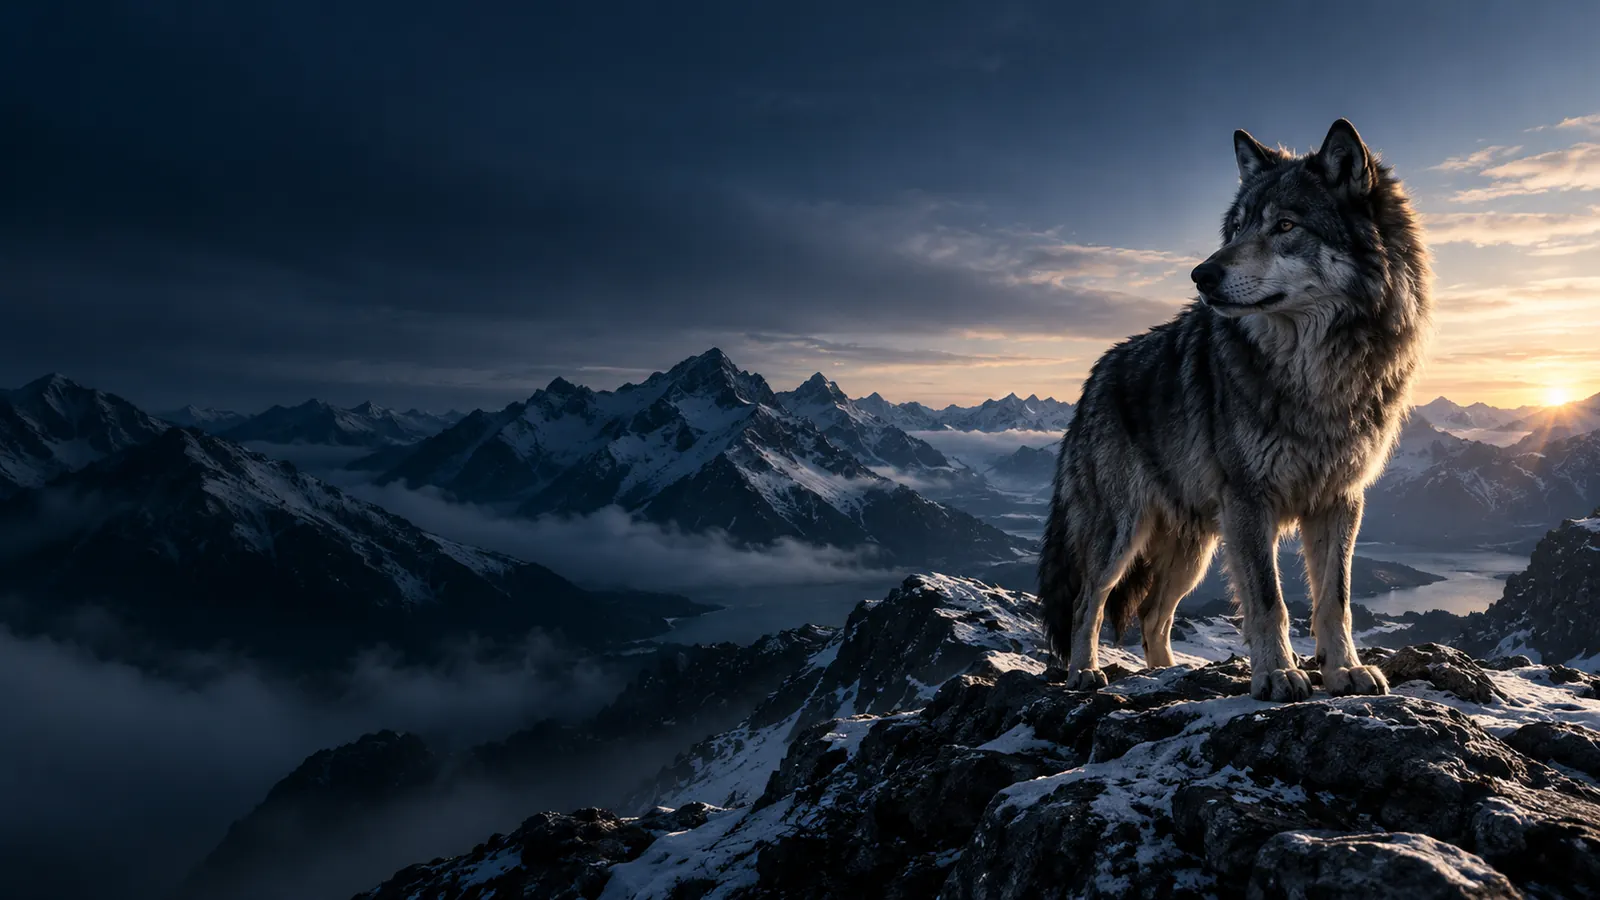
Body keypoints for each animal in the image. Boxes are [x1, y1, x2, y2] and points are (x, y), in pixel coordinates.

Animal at [1039, 119, 1431, 701]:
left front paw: (1344, 670)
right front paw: (1278, 674)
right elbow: (1269, 602)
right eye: (1238, 227)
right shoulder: (1251, 502)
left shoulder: (1340, 500)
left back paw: (1165, 673)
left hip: (1194, 550)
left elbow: (1334, 600)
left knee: (1153, 615)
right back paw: (1084, 672)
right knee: (1090, 602)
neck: (1316, 373)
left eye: (1285, 225)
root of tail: (1093, 380)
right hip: (1121, 533)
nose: (1200, 275)